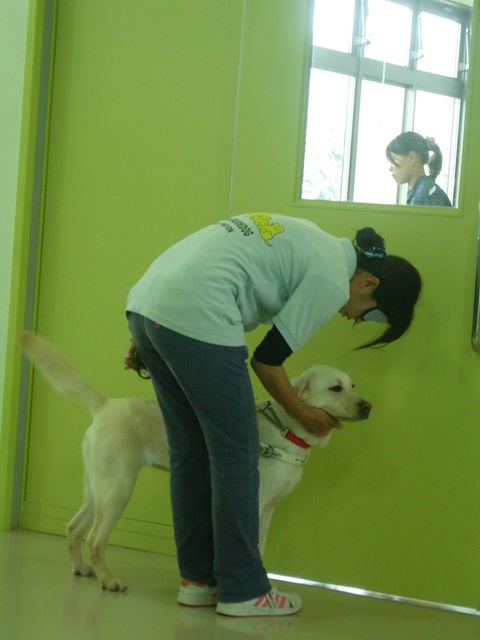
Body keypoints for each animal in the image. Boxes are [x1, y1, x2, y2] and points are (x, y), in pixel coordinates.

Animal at [19, 331, 371, 592]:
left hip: (98, 488)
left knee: (73, 528)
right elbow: (251, 545)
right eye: (335, 388)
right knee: (94, 540)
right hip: (118, 489)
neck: (287, 427)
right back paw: (108, 581)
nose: (367, 405)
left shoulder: (270, 507)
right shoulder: (254, 501)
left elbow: (260, 546)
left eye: (353, 385)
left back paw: (80, 569)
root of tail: (105, 404)